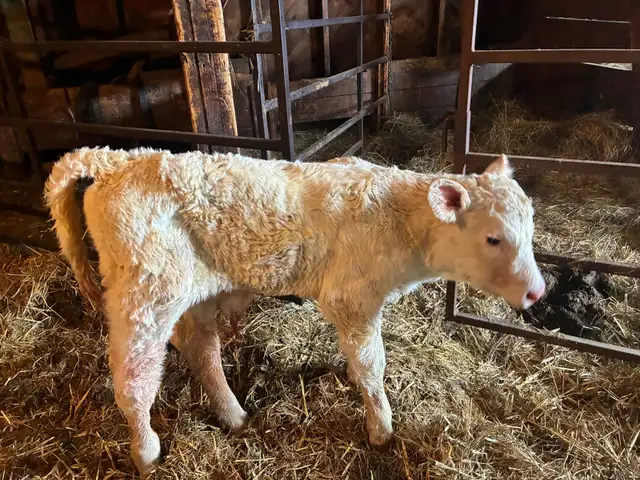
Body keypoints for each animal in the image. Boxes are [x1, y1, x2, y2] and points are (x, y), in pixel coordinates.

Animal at [45, 147, 545, 475]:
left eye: (531, 227)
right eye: (493, 238)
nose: (537, 292)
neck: (397, 220)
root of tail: (118, 159)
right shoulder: (352, 300)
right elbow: (371, 366)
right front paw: (381, 429)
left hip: (193, 291)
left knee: (200, 348)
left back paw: (234, 415)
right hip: (145, 293)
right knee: (135, 379)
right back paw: (147, 451)